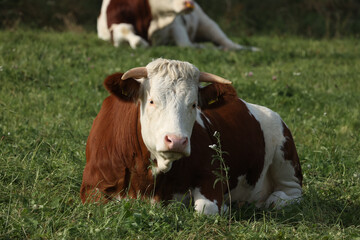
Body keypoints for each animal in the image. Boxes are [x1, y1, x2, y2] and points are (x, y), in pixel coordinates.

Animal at [80, 58, 302, 214]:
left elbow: (206, 209)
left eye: (194, 104)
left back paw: (273, 200)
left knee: (291, 194)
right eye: (151, 101)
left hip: (286, 160)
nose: (177, 141)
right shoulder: (91, 188)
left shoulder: (212, 176)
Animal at [97, 0, 258, 50]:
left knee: (227, 42)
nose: (189, 3)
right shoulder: (114, 28)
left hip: (207, 23)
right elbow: (128, 34)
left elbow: (185, 44)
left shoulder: (175, 24)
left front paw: (200, 46)